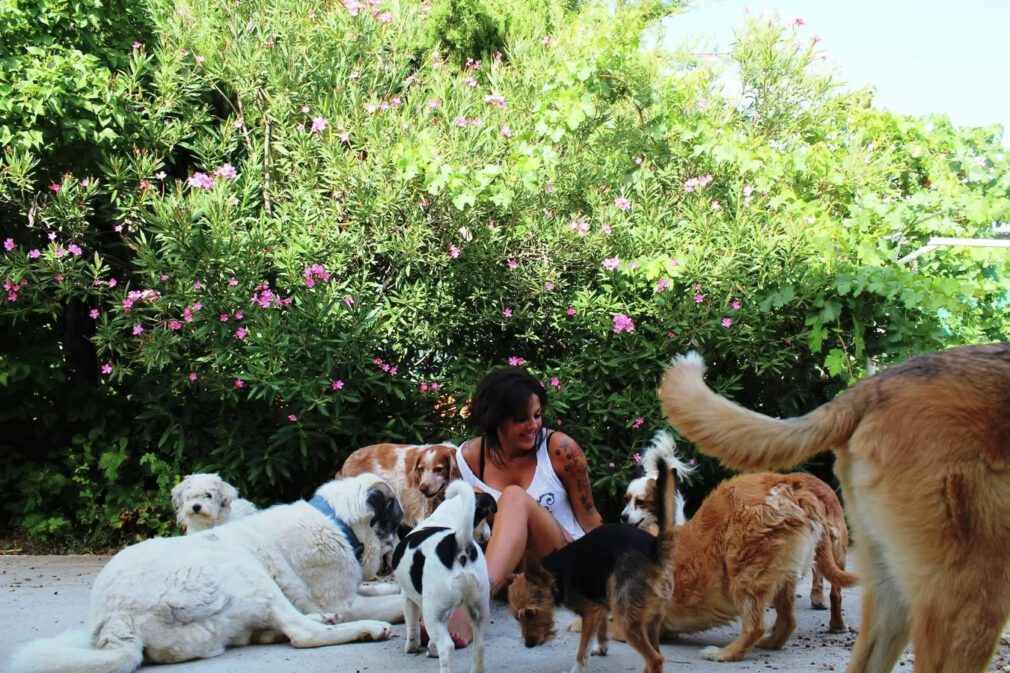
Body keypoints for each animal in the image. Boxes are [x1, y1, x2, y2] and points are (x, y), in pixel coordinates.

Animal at [9, 470, 401, 670]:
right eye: (395, 519)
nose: (403, 539)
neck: (336, 521)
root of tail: (119, 622)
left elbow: (379, 589)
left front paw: (389, 588)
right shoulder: (343, 599)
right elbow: (382, 604)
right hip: (243, 567)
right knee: (302, 633)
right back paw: (362, 628)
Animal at [389, 478, 492, 666]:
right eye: (484, 517)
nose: (489, 534)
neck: (445, 518)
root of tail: (458, 542)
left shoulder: (408, 598)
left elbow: (412, 625)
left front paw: (413, 647)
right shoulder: (443, 611)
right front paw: (431, 648)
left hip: (432, 610)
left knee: (447, 646)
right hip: (479, 609)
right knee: (479, 646)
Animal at [505, 456, 678, 670]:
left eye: (530, 613)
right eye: (516, 617)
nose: (528, 645)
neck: (556, 573)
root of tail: (655, 548)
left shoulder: (590, 611)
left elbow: (581, 651)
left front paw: (577, 668)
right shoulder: (601, 602)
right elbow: (601, 627)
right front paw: (602, 645)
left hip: (627, 620)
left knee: (655, 658)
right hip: (651, 618)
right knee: (657, 654)